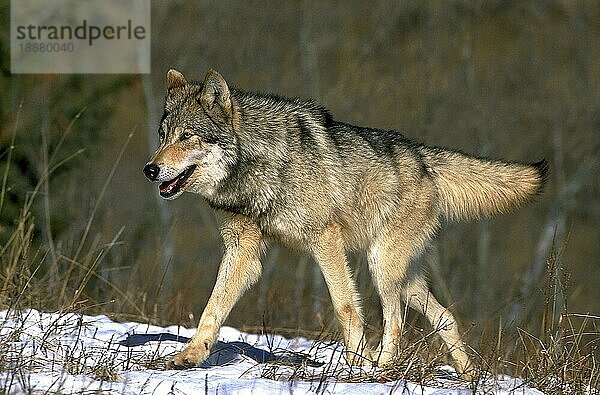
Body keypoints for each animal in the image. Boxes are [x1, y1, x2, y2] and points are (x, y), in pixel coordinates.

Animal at [143, 69, 548, 380]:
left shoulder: (326, 240)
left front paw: (357, 366)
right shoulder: (243, 252)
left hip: (382, 266)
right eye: (163, 136)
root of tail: (423, 157)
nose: (150, 169)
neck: (258, 166)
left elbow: (345, 307)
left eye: (187, 137)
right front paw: (190, 356)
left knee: (395, 321)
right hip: (406, 279)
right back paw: (468, 378)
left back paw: (381, 367)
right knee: (445, 317)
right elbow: (212, 308)